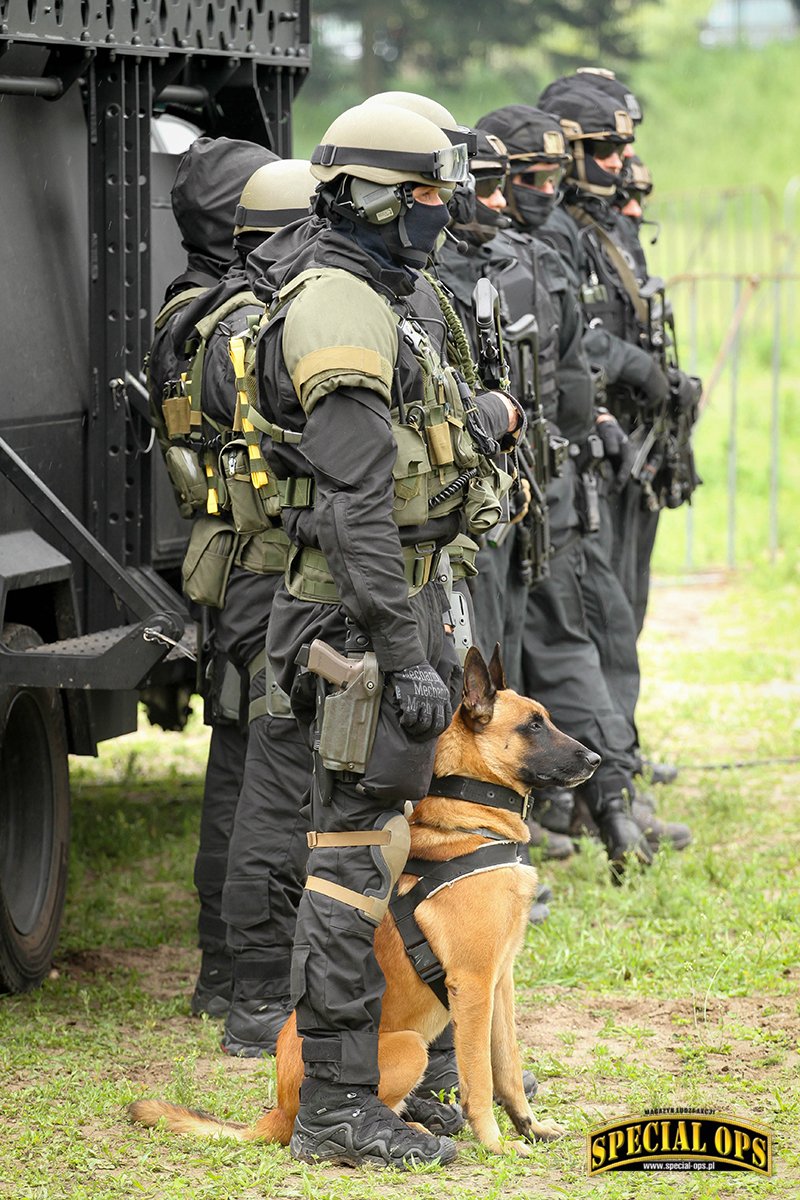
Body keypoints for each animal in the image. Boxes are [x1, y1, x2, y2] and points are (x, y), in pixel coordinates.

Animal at [131, 652, 597, 1156]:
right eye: (533, 725)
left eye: (545, 719)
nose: (595, 759)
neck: (473, 825)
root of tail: (280, 1110)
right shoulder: (473, 986)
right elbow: (480, 1078)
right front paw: (495, 1143)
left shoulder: (501, 982)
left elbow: (507, 1065)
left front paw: (530, 1127)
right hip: (410, 1045)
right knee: (378, 1100)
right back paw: (403, 1130)